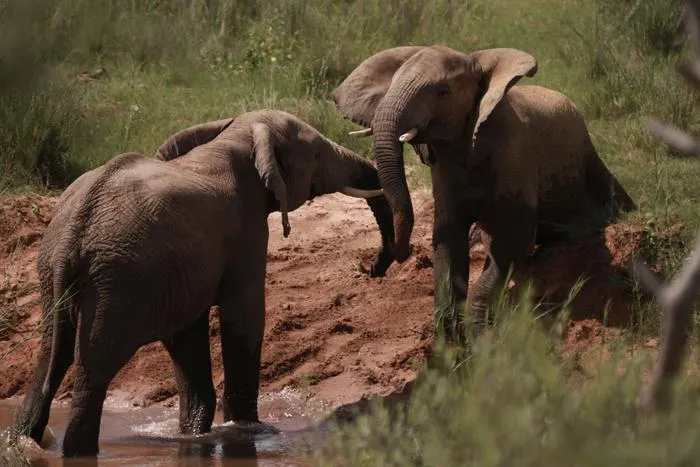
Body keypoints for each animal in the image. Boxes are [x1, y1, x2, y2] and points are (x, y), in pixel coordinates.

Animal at [11, 109, 396, 457]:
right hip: (117, 282)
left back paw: (22, 442)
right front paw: (249, 431)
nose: (372, 268)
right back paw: (78, 451)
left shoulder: (186, 269)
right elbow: (243, 319)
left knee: (48, 358)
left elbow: (188, 336)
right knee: (93, 371)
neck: (237, 136)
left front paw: (196, 434)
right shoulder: (247, 229)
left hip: (61, 273)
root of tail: (74, 229)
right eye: (316, 153)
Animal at [332, 45, 636, 340]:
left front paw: (477, 333)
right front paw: (448, 339)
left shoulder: (515, 153)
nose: (374, 268)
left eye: (443, 92)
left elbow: (516, 238)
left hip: (589, 158)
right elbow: (448, 237)